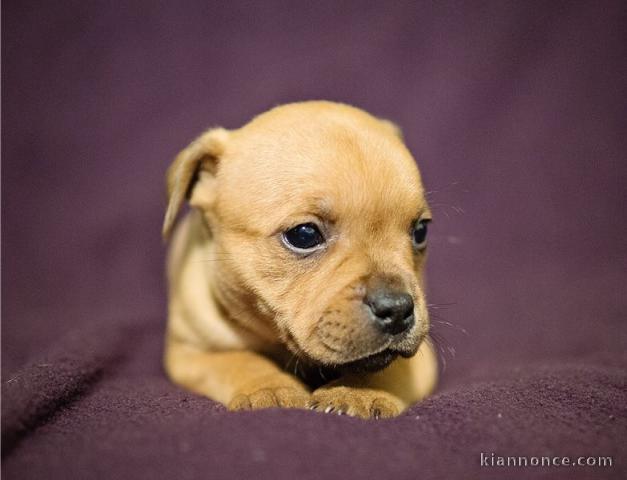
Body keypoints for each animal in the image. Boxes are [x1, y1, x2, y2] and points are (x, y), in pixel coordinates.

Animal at [163, 102, 436, 420]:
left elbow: (389, 367)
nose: (397, 308)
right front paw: (270, 389)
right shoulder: (190, 351)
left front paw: (357, 392)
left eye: (420, 231)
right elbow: (239, 360)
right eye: (304, 235)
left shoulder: (420, 359)